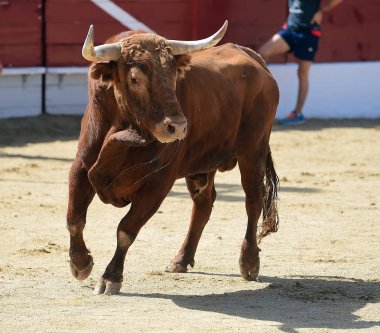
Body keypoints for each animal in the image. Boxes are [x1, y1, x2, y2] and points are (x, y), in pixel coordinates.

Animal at [67, 21, 280, 294]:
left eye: (173, 76)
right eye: (135, 78)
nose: (178, 127)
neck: (124, 129)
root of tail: (254, 58)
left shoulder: (159, 182)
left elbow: (126, 229)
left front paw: (110, 277)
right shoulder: (82, 166)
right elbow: (74, 219)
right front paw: (80, 263)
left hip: (253, 151)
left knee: (253, 199)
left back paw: (249, 261)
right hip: (204, 162)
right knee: (203, 204)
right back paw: (181, 258)